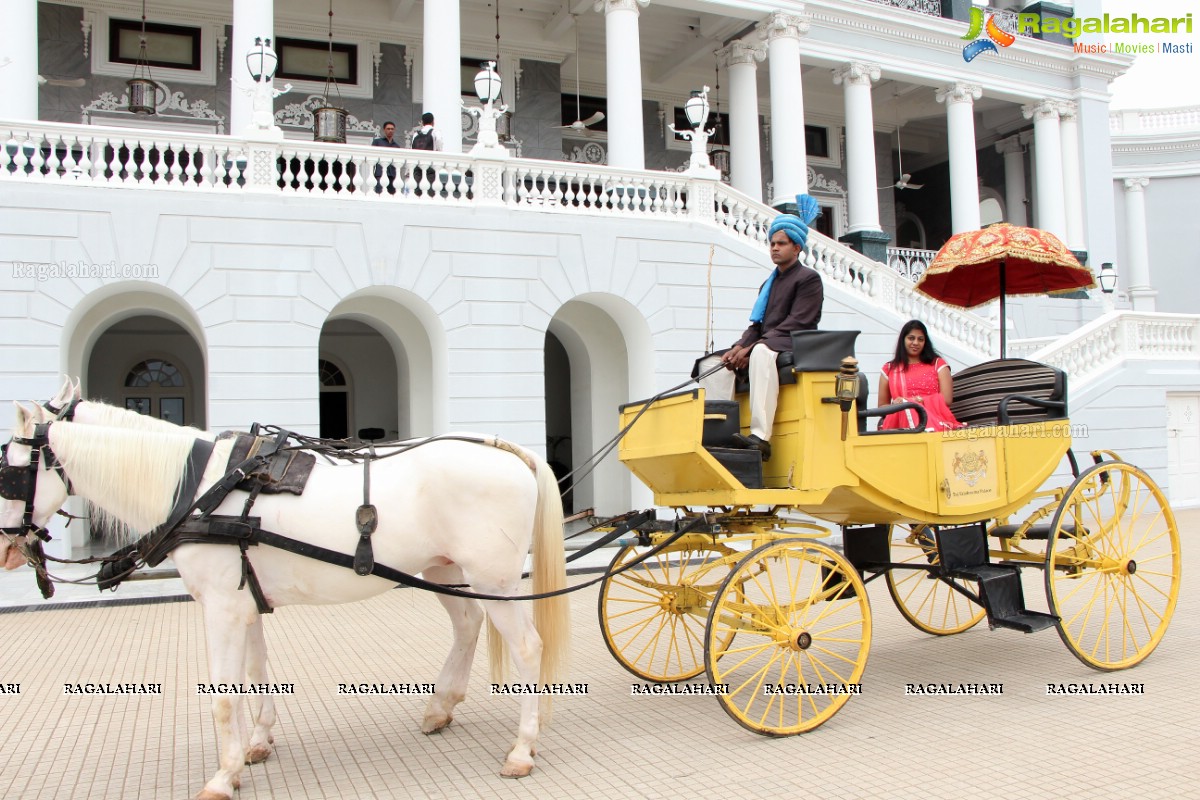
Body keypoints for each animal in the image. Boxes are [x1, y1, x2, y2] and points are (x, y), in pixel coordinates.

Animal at [0, 407, 571, 800]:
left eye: (9, 472)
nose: (7, 546)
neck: (203, 489)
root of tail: (504, 449)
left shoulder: (221, 609)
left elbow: (224, 695)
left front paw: (223, 774)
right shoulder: (244, 603)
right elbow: (253, 676)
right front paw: (256, 744)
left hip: (494, 579)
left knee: (527, 647)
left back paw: (523, 746)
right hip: (443, 569)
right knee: (468, 624)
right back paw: (442, 707)